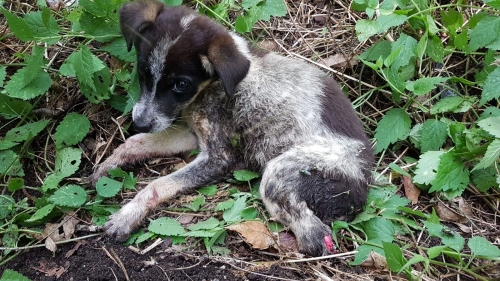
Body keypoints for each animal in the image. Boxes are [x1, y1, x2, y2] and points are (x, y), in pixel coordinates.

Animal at [94, 0, 376, 256]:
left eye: (181, 84)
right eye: (143, 71)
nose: (138, 121)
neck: (214, 86)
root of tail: (362, 189)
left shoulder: (219, 157)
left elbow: (158, 184)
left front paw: (126, 216)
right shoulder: (193, 133)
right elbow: (138, 142)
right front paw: (110, 163)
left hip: (283, 170)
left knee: (310, 230)